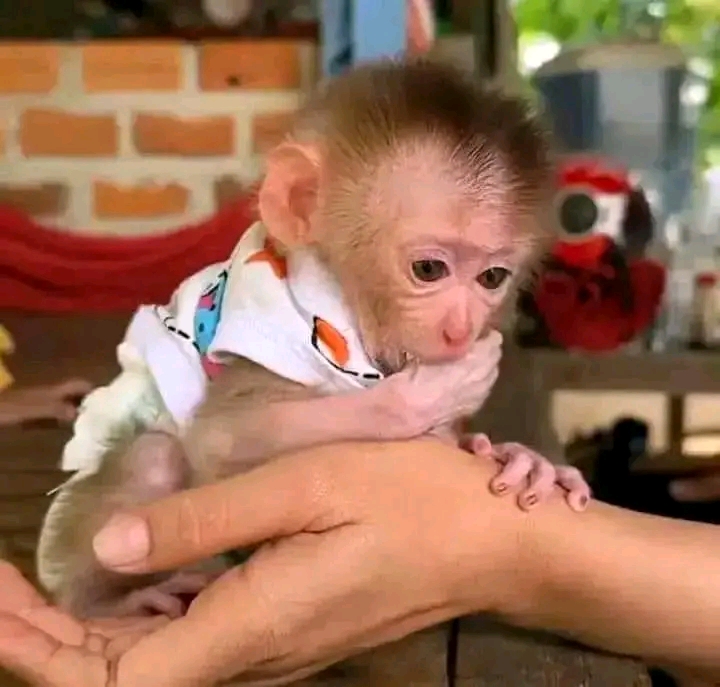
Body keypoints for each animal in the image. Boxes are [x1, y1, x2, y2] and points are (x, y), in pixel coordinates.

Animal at [37, 58, 591, 620]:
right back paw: (101, 604)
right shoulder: (275, 327)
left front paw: (520, 458)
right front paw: (421, 398)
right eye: (429, 269)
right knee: (154, 459)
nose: (459, 329)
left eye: (492, 278)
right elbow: (219, 443)